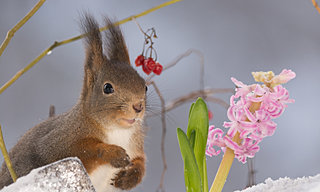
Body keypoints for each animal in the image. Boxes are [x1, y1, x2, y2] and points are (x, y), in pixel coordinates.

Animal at [0, 14, 148, 191]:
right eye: (107, 88)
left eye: (145, 86)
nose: (138, 106)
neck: (117, 131)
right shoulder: (57, 143)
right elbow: (82, 151)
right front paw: (112, 153)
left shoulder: (135, 146)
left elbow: (141, 163)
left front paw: (131, 176)